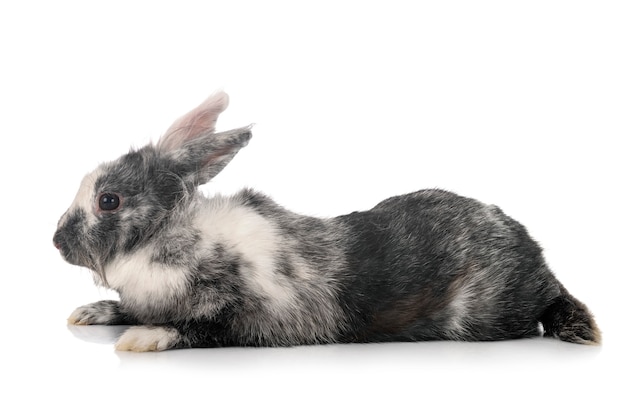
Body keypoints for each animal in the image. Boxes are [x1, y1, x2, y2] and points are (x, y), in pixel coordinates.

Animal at [53, 91, 600, 350]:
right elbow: (131, 308)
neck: (172, 239)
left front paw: (144, 339)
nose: (56, 241)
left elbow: (197, 329)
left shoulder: (255, 319)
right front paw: (91, 313)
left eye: (108, 201)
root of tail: (538, 263)